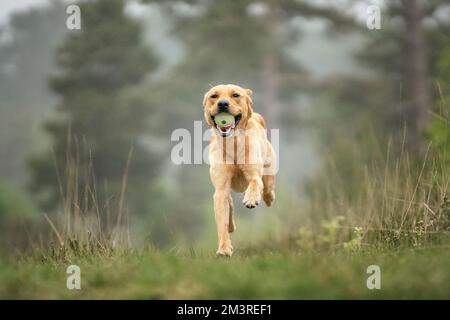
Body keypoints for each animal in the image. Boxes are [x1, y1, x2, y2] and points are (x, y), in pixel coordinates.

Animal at [202, 84, 276, 256]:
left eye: (235, 95)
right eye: (214, 96)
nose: (223, 104)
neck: (233, 143)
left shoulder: (254, 173)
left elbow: (255, 182)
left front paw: (251, 199)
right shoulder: (221, 187)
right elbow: (221, 219)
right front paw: (224, 248)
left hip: (268, 174)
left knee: (267, 189)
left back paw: (267, 198)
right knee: (228, 202)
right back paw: (231, 225)